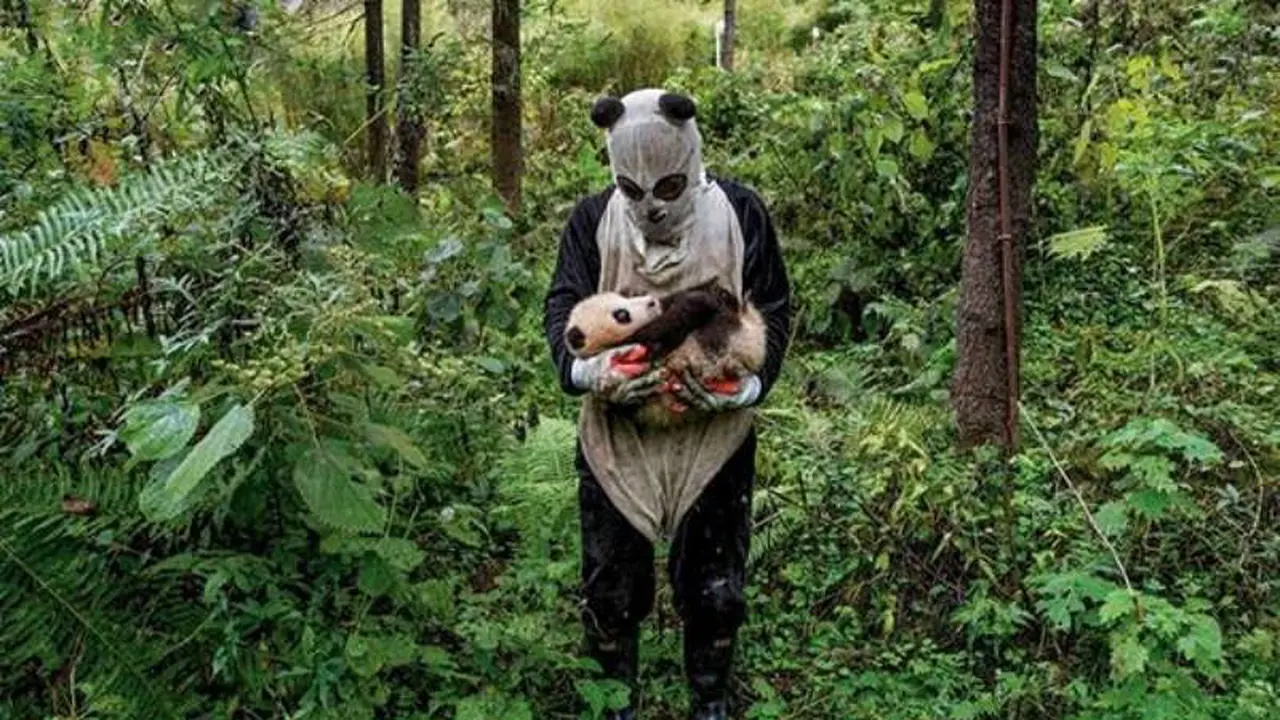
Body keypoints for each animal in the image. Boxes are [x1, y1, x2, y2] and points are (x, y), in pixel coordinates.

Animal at [563, 279, 767, 427]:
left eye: (623, 297)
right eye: (622, 315)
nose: (651, 301)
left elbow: (676, 300)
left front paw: (712, 290)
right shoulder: (639, 347)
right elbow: (677, 318)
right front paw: (703, 298)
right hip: (719, 342)